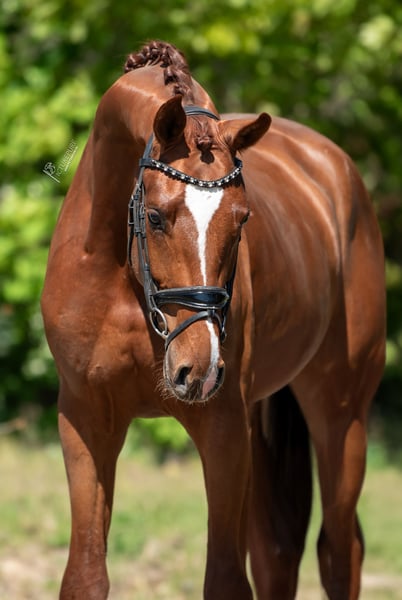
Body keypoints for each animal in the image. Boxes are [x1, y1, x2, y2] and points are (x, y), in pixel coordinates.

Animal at [41, 41, 386, 600]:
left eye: (242, 219)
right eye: (154, 216)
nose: (197, 369)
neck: (126, 280)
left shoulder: (222, 428)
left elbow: (224, 579)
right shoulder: (85, 420)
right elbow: (85, 576)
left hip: (341, 415)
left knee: (339, 551)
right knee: (276, 555)